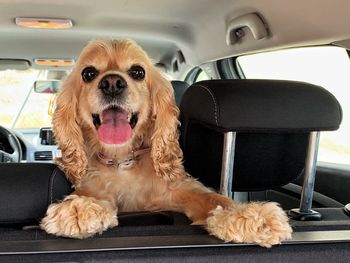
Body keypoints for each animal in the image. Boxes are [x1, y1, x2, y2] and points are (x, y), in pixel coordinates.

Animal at [41, 38, 292, 248]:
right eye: (89, 73)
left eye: (138, 71)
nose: (112, 83)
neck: (122, 161)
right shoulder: (95, 188)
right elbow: (90, 196)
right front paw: (78, 210)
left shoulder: (178, 191)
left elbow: (213, 197)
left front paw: (250, 216)